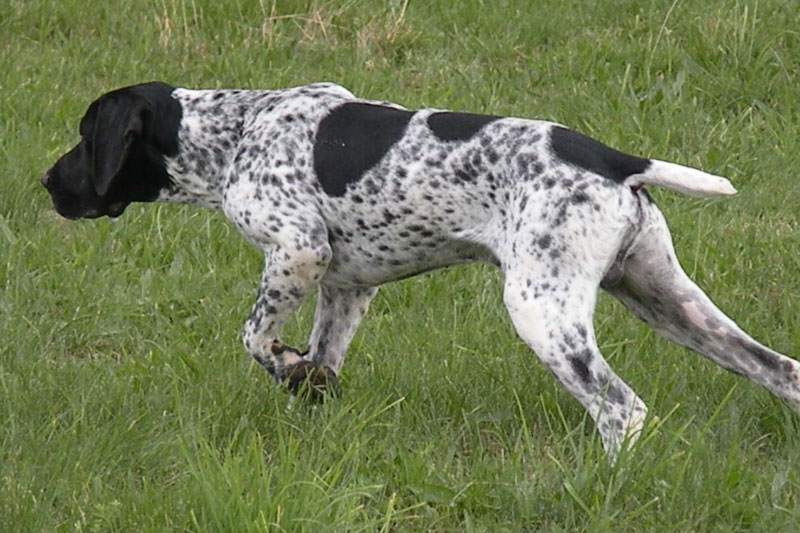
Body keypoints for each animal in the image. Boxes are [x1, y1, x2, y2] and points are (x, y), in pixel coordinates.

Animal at [43, 82, 800, 458]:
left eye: (84, 139)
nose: (47, 183)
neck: (234, 130)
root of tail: (615, 159)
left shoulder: (297, 251)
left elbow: (256, 338)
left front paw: (284, 366)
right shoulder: (346, 286)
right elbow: (321, 367)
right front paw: (309, 393)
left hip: (543, 312)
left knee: (621, 408)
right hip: (670, 303)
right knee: (781, 371)